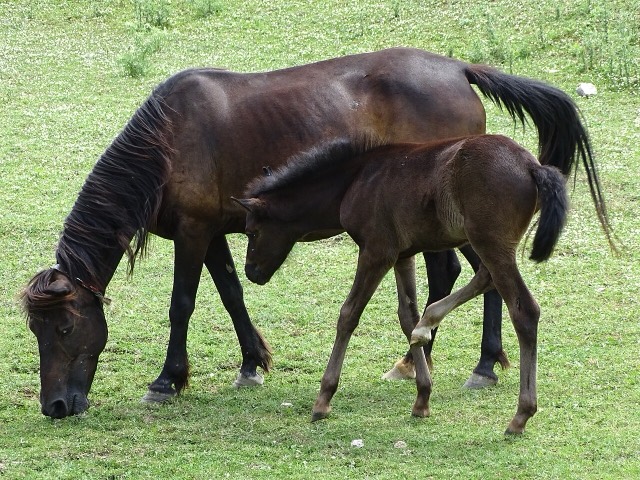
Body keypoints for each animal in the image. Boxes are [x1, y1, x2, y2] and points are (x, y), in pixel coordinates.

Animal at [233, 134, 579, 434]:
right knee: (484, 277)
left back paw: (521, 415)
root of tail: (532, 166)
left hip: (489, 241)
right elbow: (406, 314)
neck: (355, 180)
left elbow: (348, 314)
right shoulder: (403, 255)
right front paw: (422, 397)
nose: (251, 272)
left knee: (524, 310)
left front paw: (323, 399)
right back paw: (429, 321)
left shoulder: (376, 252)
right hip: (488, 242)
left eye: (251, 231)